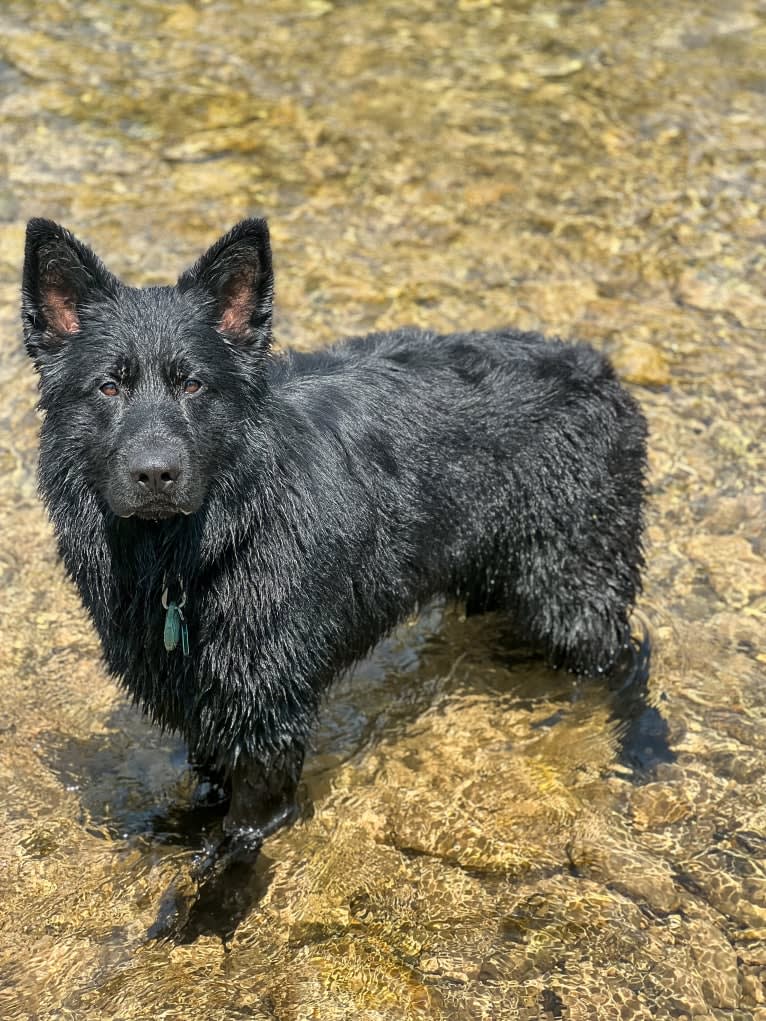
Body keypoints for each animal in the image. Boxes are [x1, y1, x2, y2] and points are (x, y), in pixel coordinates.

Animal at [20, 219, 649, 935]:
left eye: (193, 386)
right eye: (108, 387)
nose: (156, 474)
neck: (194, 553)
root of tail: (599, 367)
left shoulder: (268, 709)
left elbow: (248, 827)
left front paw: (211, 903)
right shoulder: (200, 695)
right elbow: (209, 787)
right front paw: (183, 827)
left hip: (571, 585)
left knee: (619, 659)